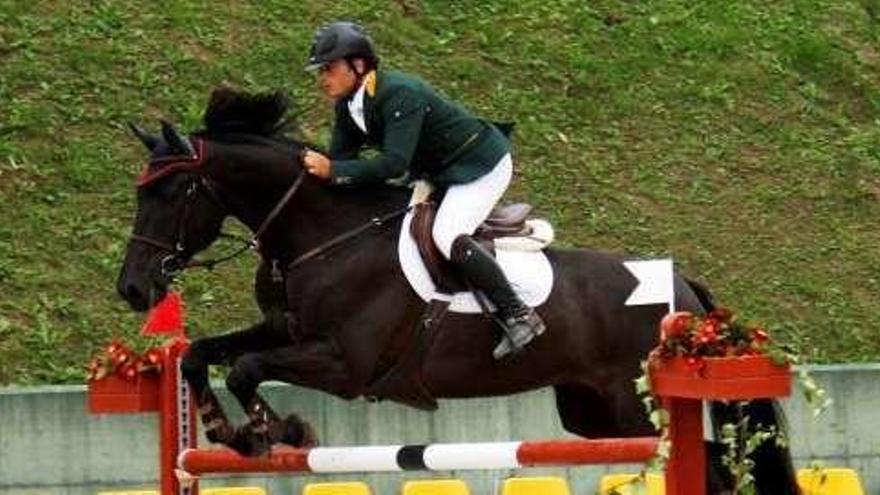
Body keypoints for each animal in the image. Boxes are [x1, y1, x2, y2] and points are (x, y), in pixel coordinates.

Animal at [115, 87, 796, 494]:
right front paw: (229, 431)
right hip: (591, 410)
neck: (322, 235)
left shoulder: (347, 365)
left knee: (710, 468)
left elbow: (248, 368)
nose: (133, 289)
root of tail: (685, 287)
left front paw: (277, 429)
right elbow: (203, 353)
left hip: (635, 405)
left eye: (171, 193)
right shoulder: (287, 331)